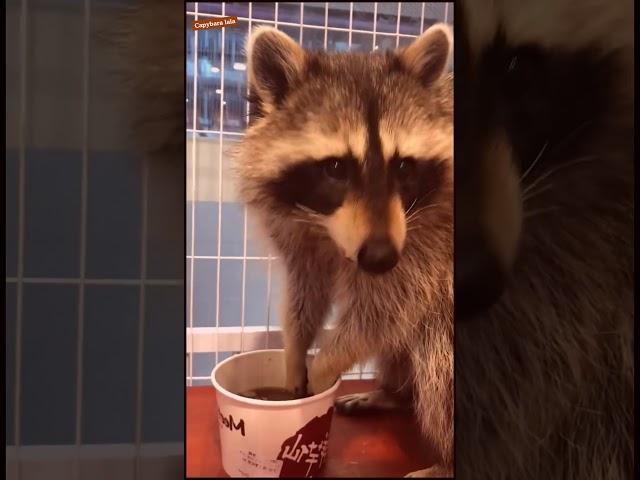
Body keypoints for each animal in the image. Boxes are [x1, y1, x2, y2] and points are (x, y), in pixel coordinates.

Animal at [236, 26, 456, 476]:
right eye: (336, 167)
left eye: (403, 167)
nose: (380, 258)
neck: (329, 232)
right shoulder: (299, 230)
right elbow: (307, 289)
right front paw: (295, 352)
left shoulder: (429, 243)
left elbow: (387, 311)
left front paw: (324, 366)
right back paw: (393, 393)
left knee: (437, 351)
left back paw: (446, 460)